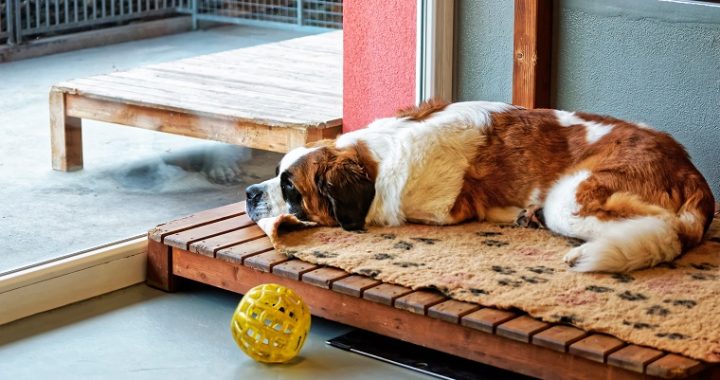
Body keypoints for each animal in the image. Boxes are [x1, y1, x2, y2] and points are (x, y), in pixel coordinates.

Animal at [246, 100, 716, 274]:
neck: (374, 162)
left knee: (664, 232)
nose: (250, 194)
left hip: (570, 196)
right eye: (275, 173)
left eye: (290, 188)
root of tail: (691, 169)